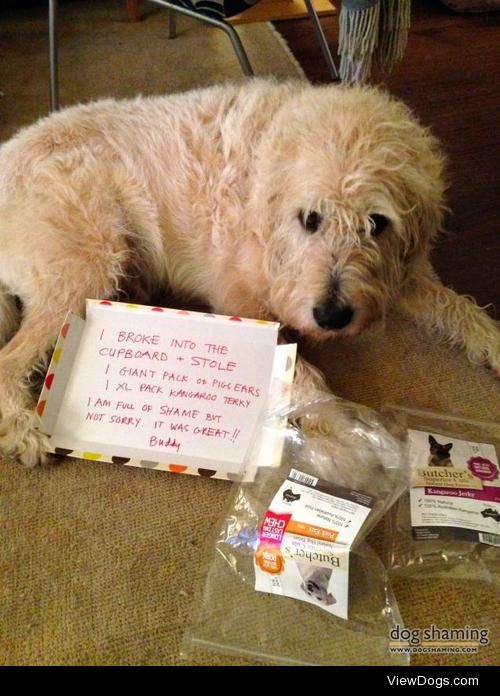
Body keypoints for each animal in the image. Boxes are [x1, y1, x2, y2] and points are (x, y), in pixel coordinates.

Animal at [0, 79, 498, 464]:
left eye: (377, 224)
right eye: (311, 218)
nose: (332, 317)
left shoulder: (404, 276)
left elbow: (458, 306)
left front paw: (492, 343)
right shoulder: (243, 304)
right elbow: (306, 378)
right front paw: (351, 433)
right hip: (88, 264)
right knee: (9, 361)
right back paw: (23, 429)